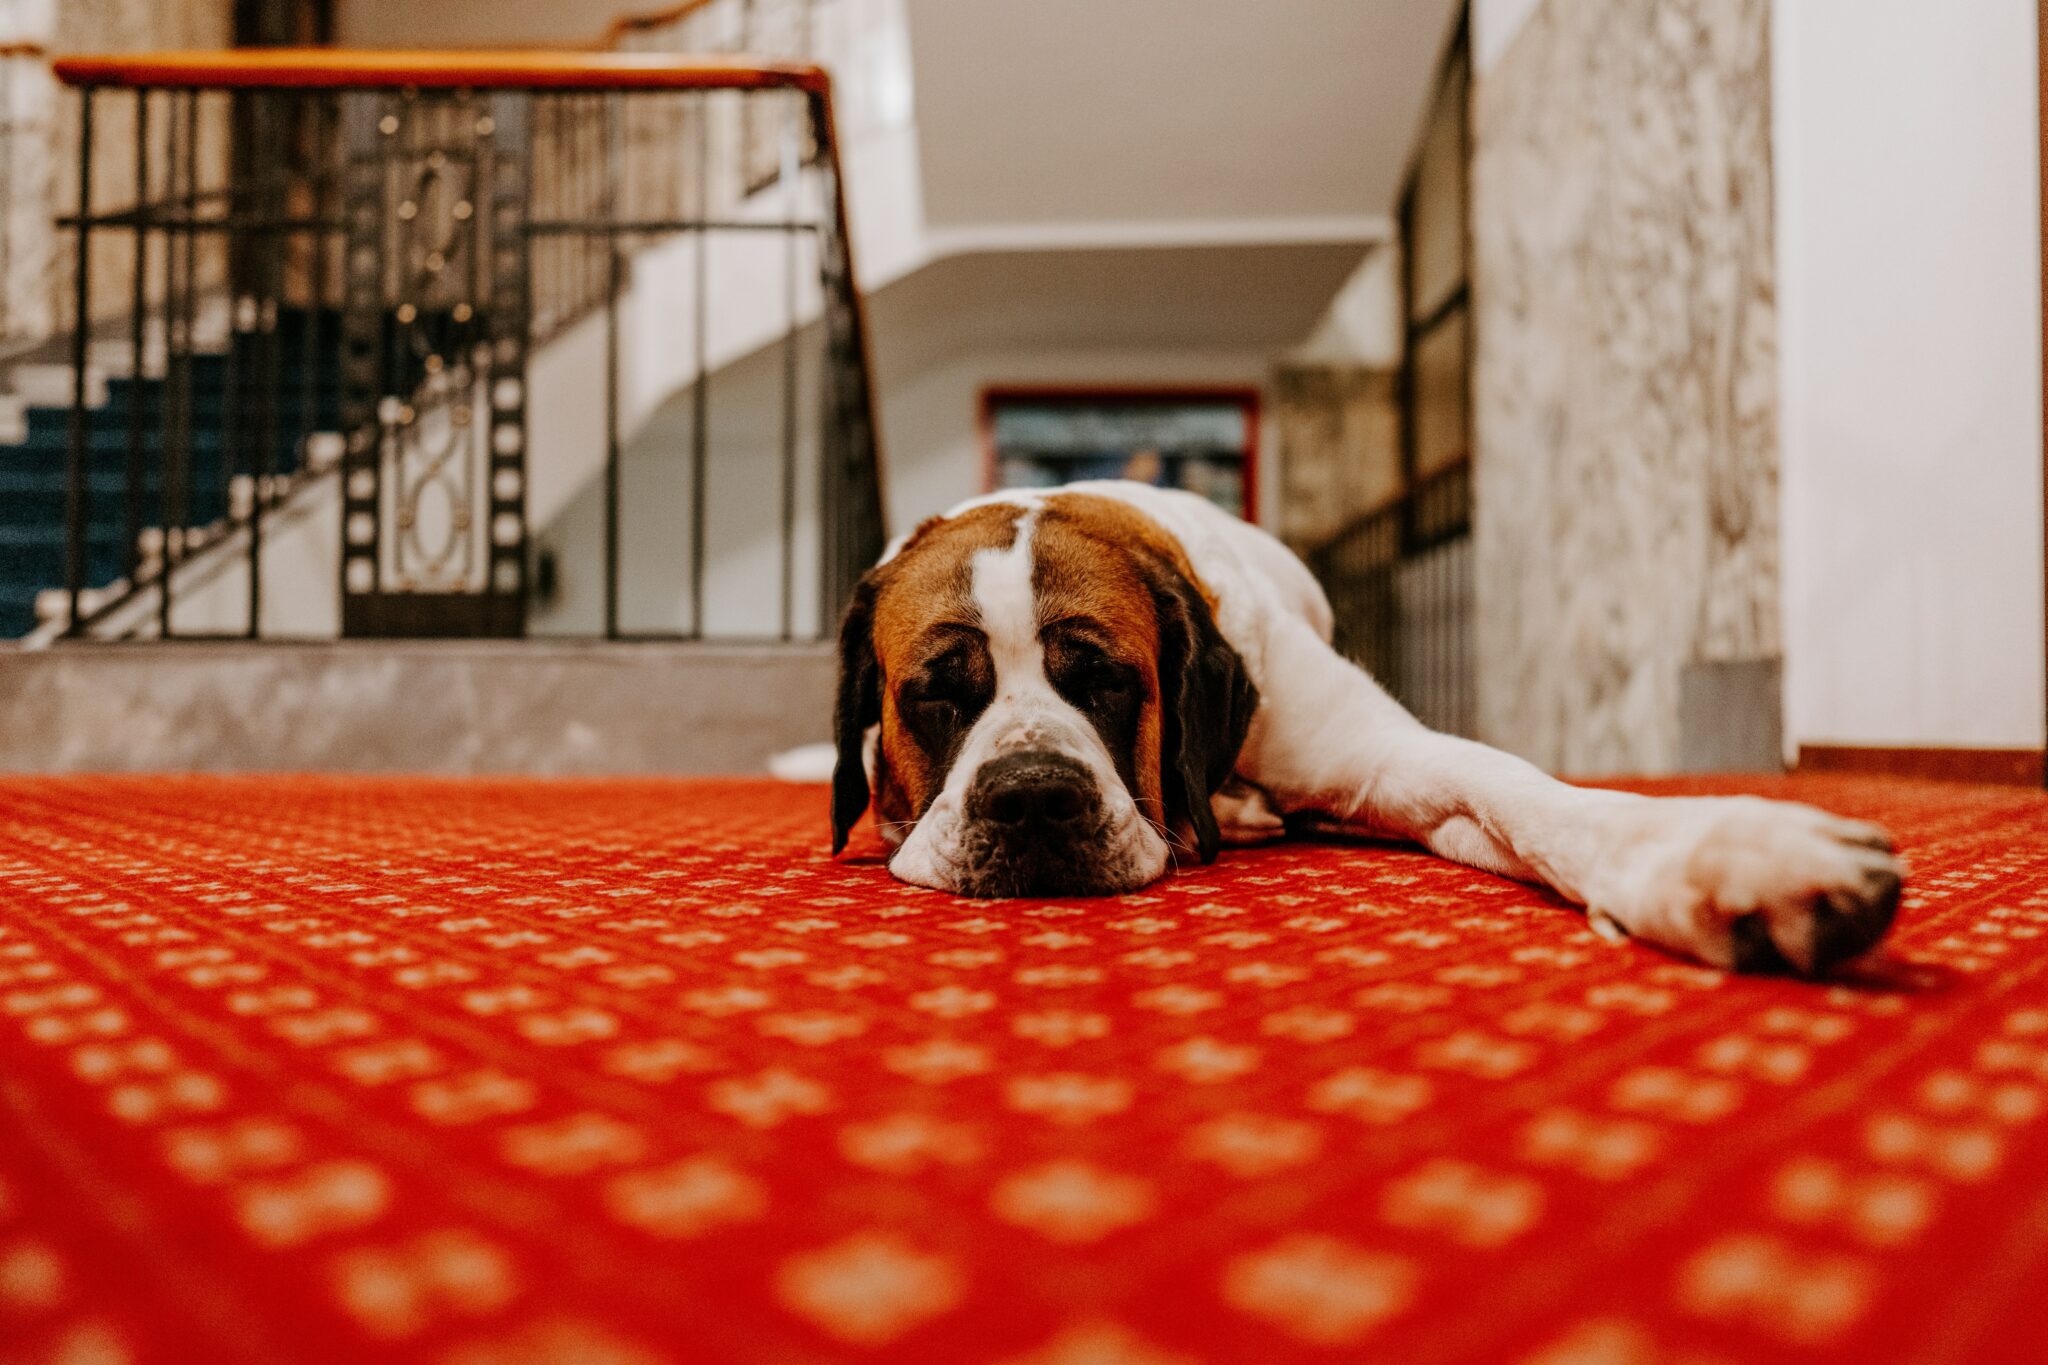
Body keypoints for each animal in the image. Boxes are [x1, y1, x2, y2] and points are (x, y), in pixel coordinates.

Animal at [835, 480, 1900, 970]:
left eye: (1102, 679)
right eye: (937, 692)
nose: (1031, 798)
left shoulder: (1388, 755)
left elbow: (1532, 798)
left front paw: (1727, 857)